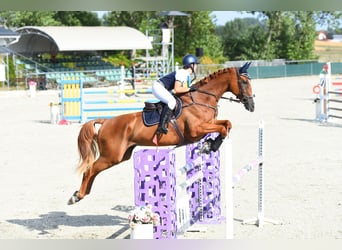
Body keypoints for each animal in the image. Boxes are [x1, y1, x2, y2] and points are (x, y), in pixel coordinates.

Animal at [67, 62, 254, 205]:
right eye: (244, 82)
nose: (251, 105)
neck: (202, 100)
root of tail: (106, 122)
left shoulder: (209, 124)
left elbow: (227, 124)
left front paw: (209, 145)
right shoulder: (197, 130)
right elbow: (222, 128)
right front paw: (210, 146)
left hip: (121, 156)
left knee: (93, 170)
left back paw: (81, 193)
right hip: (111, 156)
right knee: (90, 169)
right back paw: (77, 196)